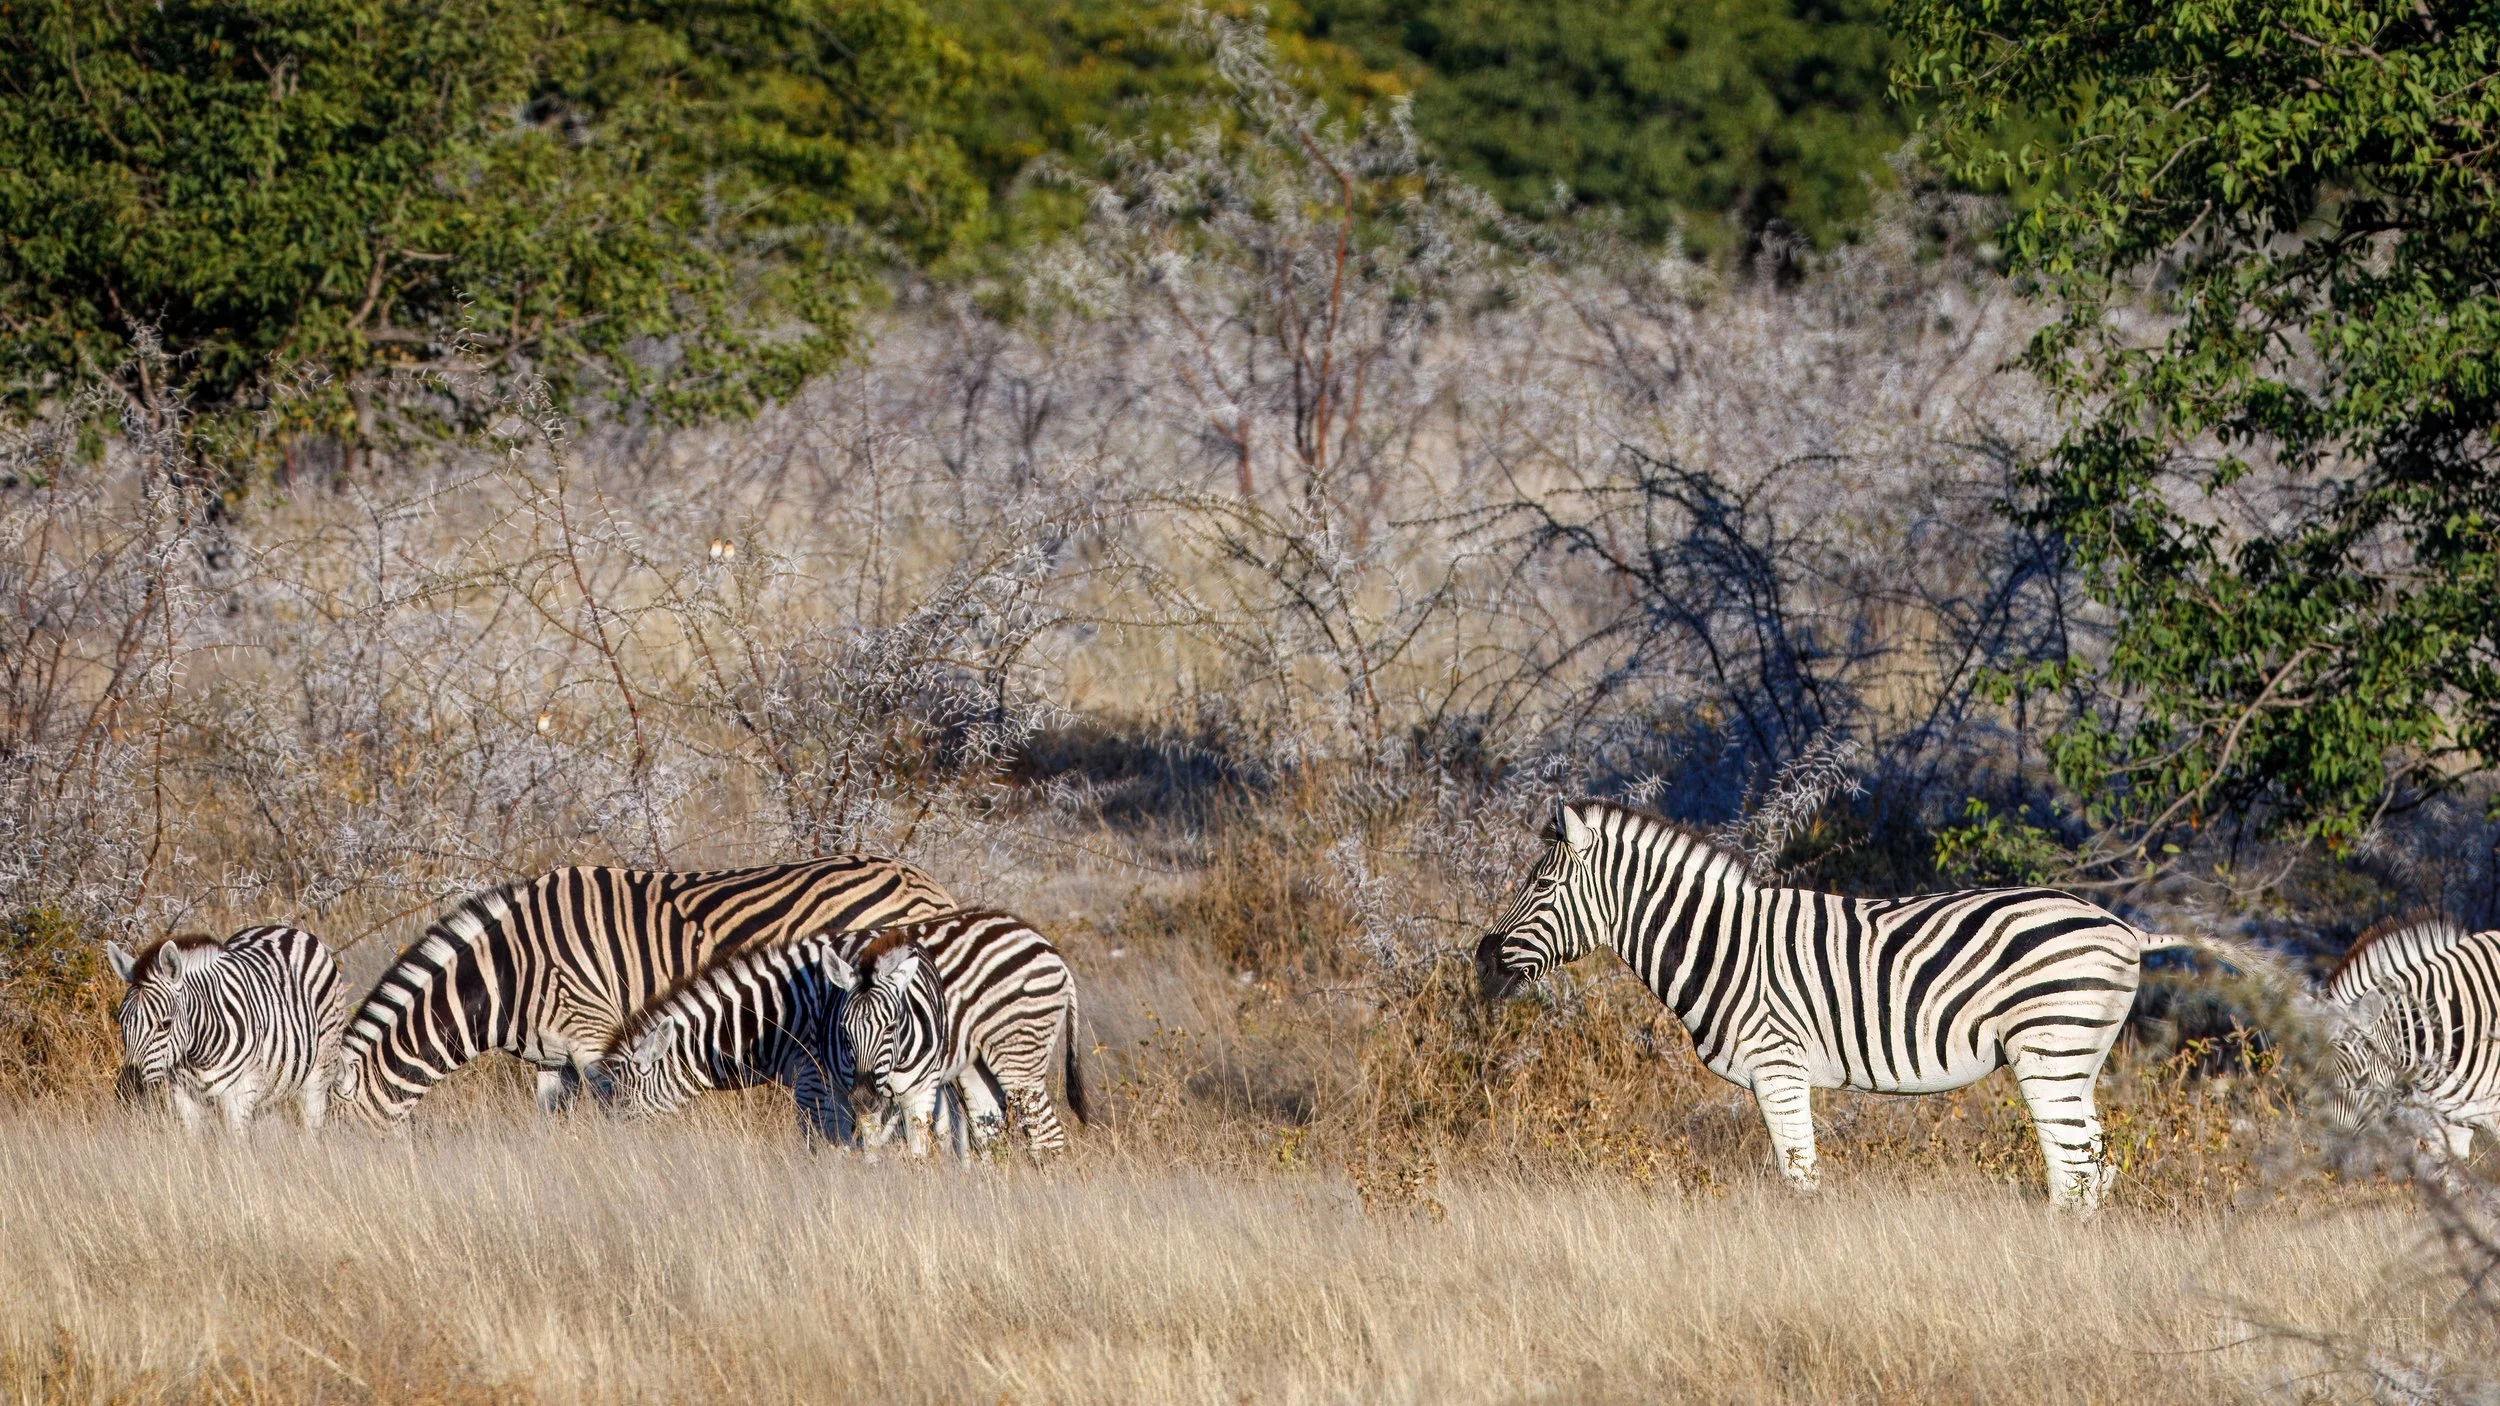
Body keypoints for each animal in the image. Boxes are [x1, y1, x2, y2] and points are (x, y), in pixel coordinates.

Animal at [108, 925, 345, 1133]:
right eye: (122, 1022)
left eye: (165, 1024)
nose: (128, 1089)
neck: (198, 1053)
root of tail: (289, 930)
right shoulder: (183, 1096)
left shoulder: (241, 1094)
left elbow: (236, 1145)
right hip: (272, 1086)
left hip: (319, 1071)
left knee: (312, 1124)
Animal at [1476, 800, 2250, 1210]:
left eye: (1541, 885)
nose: (1481, 964)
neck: (1722, 943)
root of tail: (2122, 925)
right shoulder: (1771, 1076)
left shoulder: (1778, 1065)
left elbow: (1800, 1178)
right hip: (2074, 1058)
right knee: (2092, 1171)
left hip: (2049, 1050)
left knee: (2076, 1175)